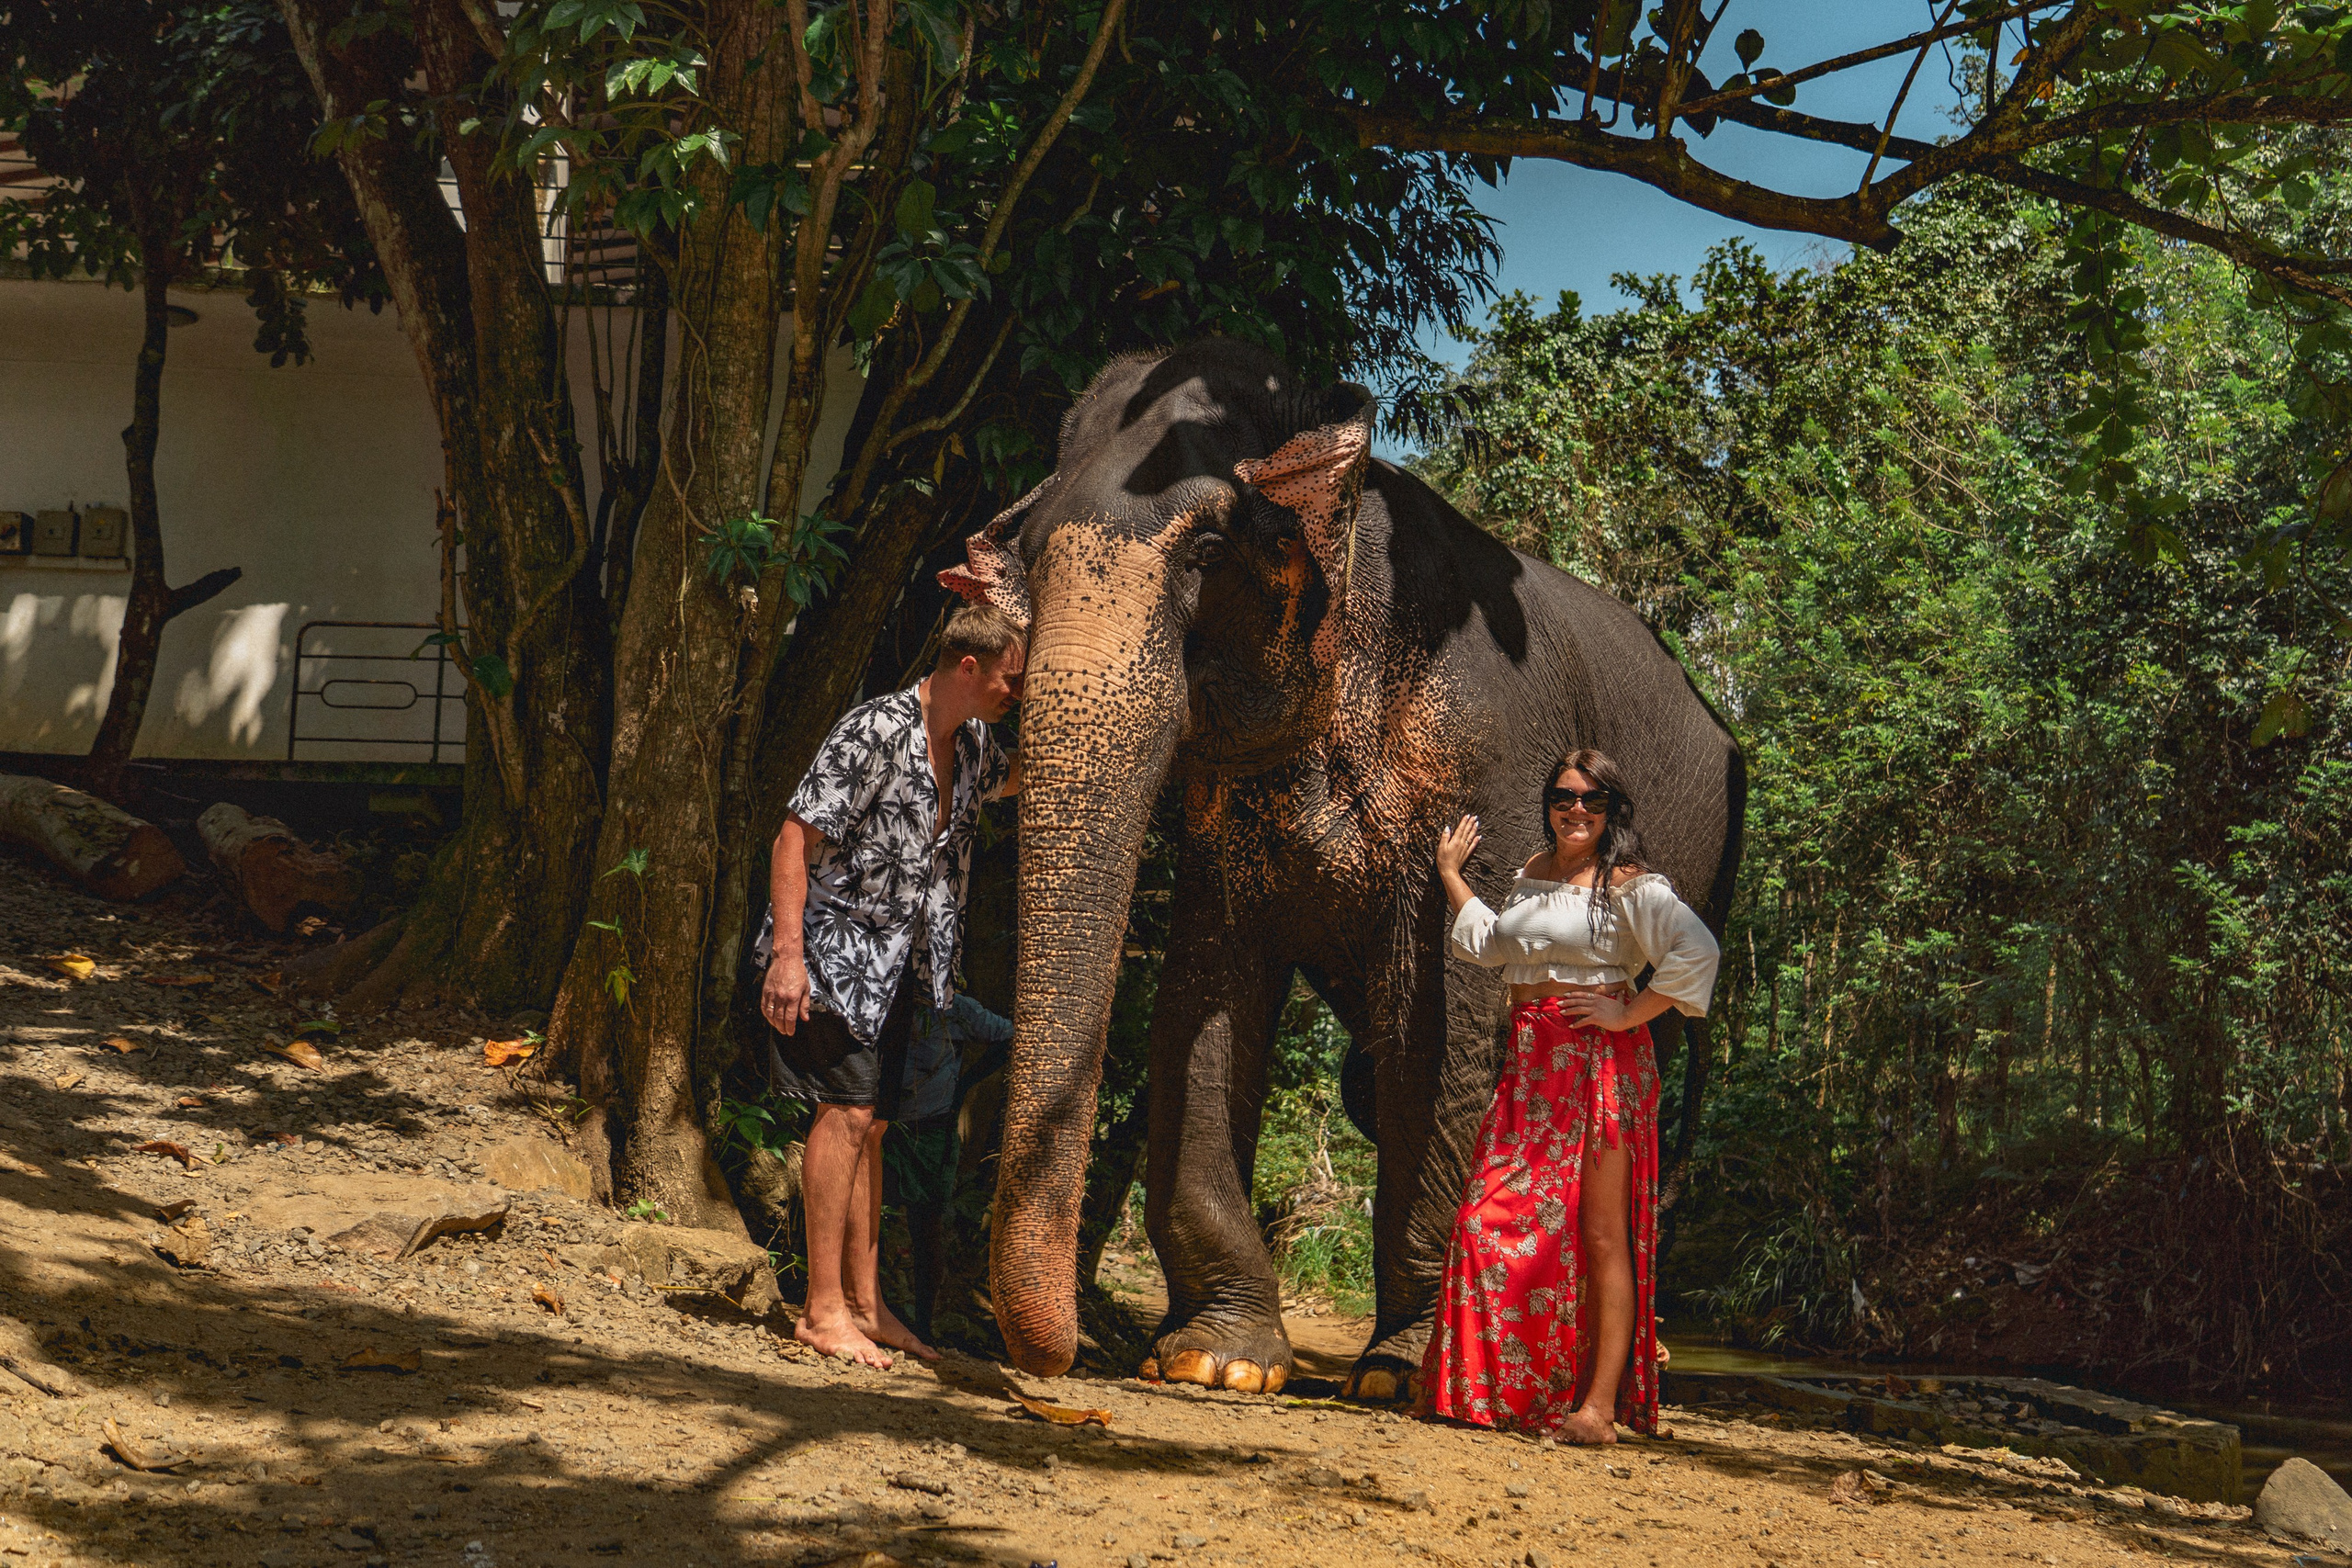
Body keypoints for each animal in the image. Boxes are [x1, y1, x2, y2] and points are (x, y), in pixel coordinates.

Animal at [943, 338, 1744, 1398]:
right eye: (1028, 558)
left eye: (1209, 553)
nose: (1053, 1365)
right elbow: (1205, 992)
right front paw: (1216, 1361)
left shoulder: (1490, 758)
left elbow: (1449, 1016)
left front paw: (1403, 1373)